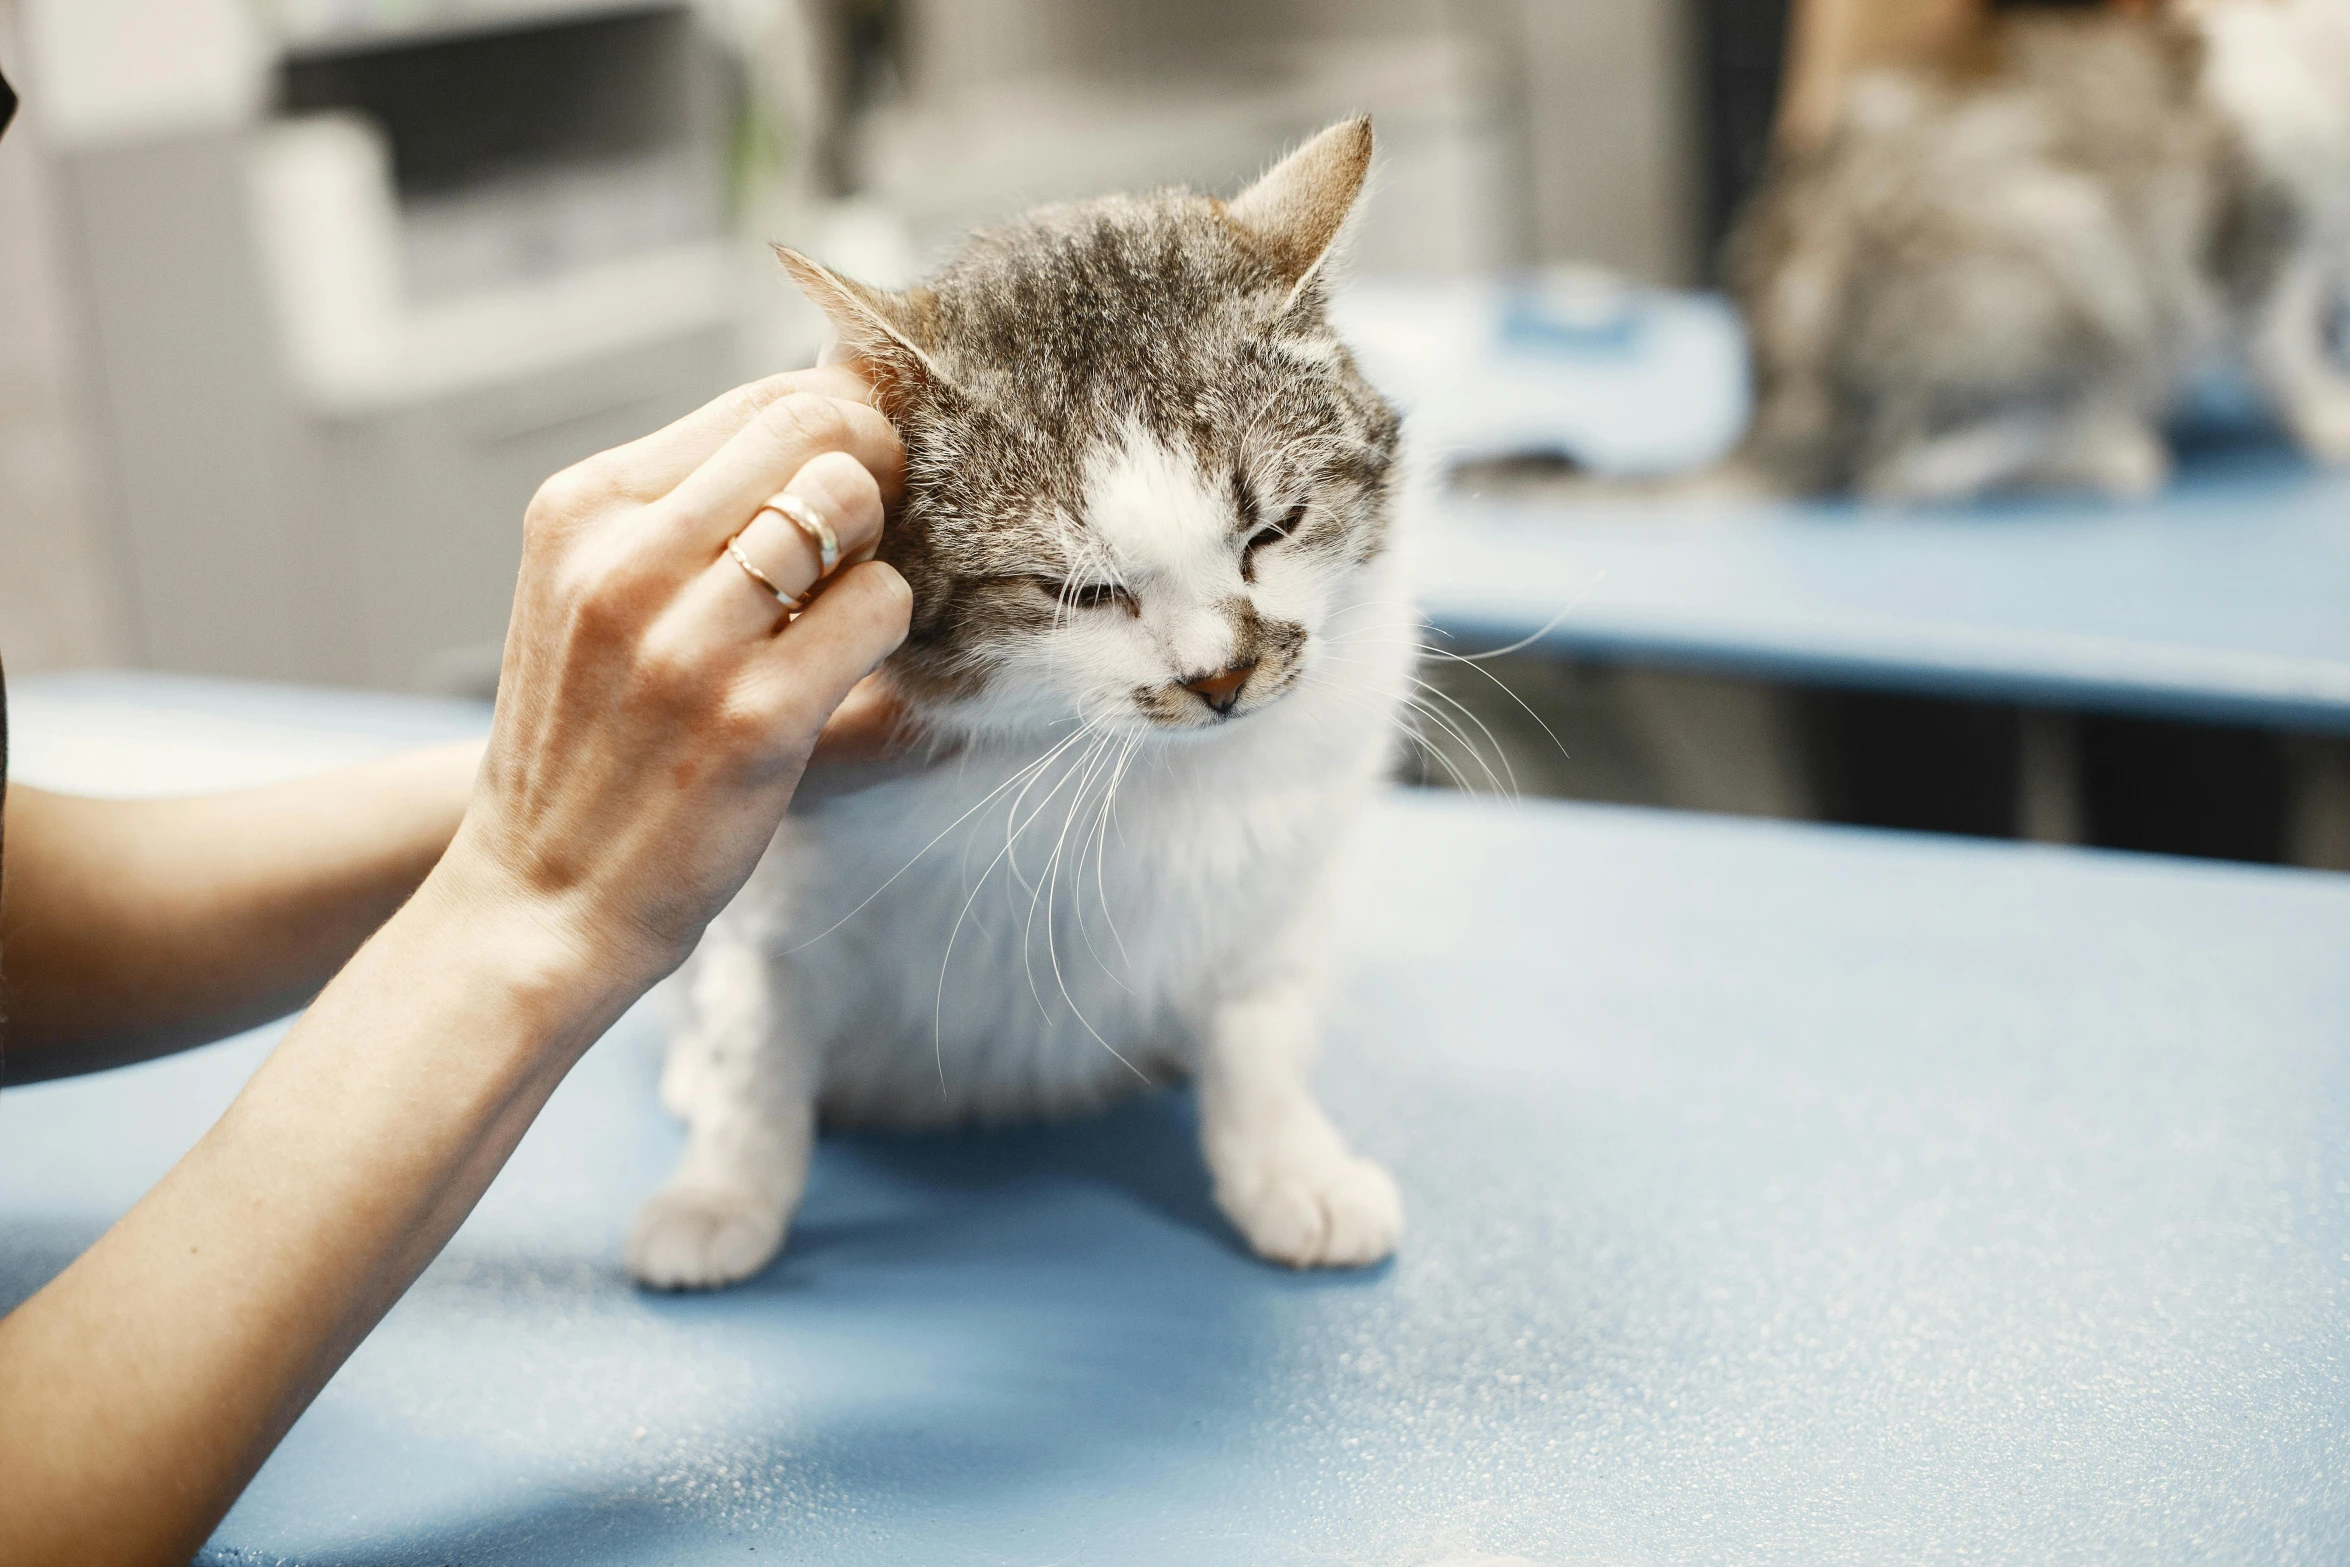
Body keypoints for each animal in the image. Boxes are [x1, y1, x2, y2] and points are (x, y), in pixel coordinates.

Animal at [625, 122, 1419, 1296]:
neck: (1105, 763)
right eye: (1081, 592)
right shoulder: (774, 891)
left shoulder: (1274, 887)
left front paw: (1290, 1167)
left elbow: (1260, 1029)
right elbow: (755, 1044)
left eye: (1273, 530)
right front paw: (722, 1190)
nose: (1221, 677)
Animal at [1720, 0, 2350, 502]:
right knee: (1908, 469)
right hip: (2068, 250)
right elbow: (2288, 352)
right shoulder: (2255, 245)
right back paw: (2111, 450)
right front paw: (2333, 415)